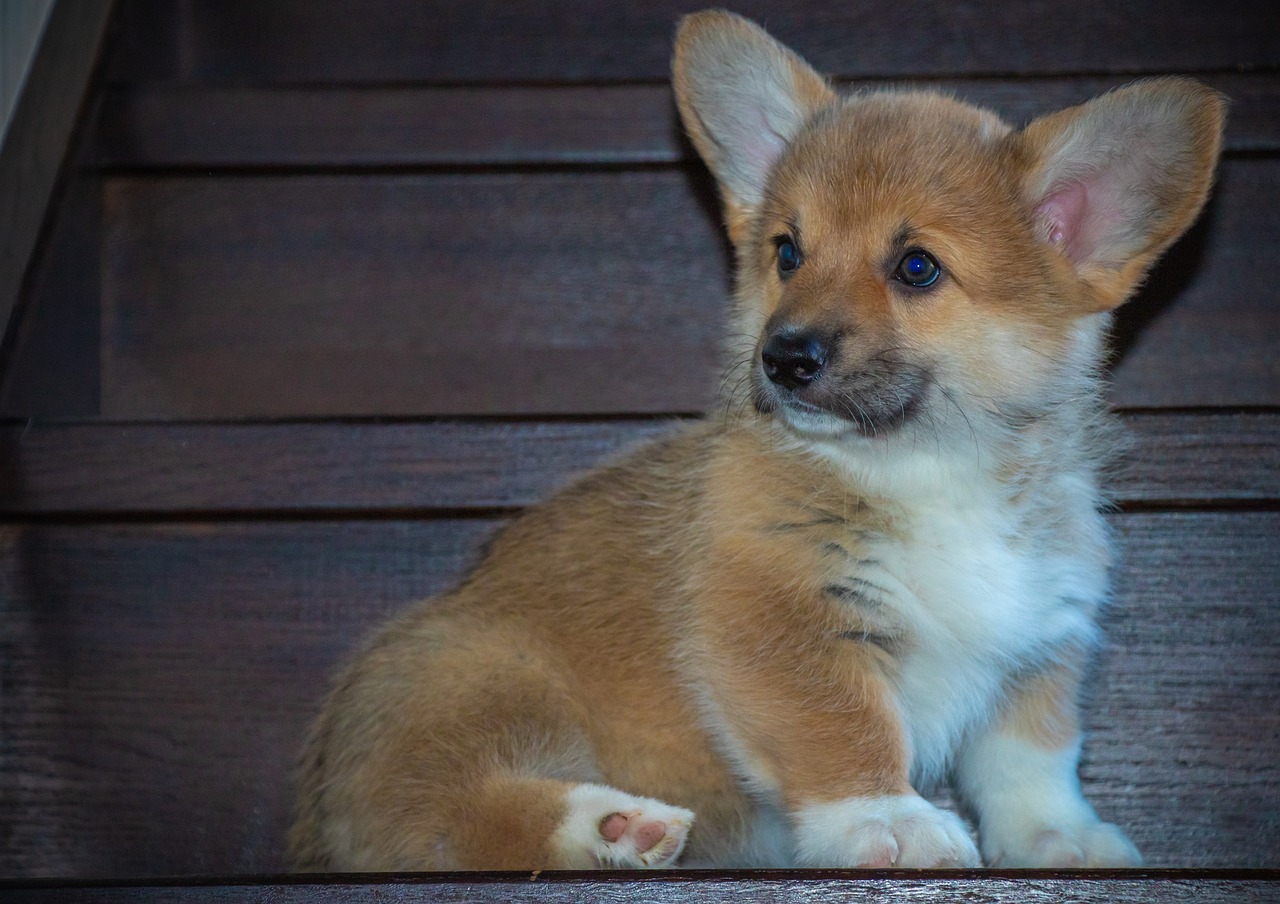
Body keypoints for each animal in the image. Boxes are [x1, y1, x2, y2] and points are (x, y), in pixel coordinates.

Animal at [288, 10, 1218, 870]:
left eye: (917, 267)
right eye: (787, 252)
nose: (784, 356)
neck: (930, 468)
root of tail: (321, 802)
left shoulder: (1037, 646)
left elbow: (1033, 764)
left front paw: (1059, 840)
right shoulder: (782, 625)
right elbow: (846, 730)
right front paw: (890, 820)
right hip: (485, 686)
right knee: (454, 820)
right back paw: (612, 826)